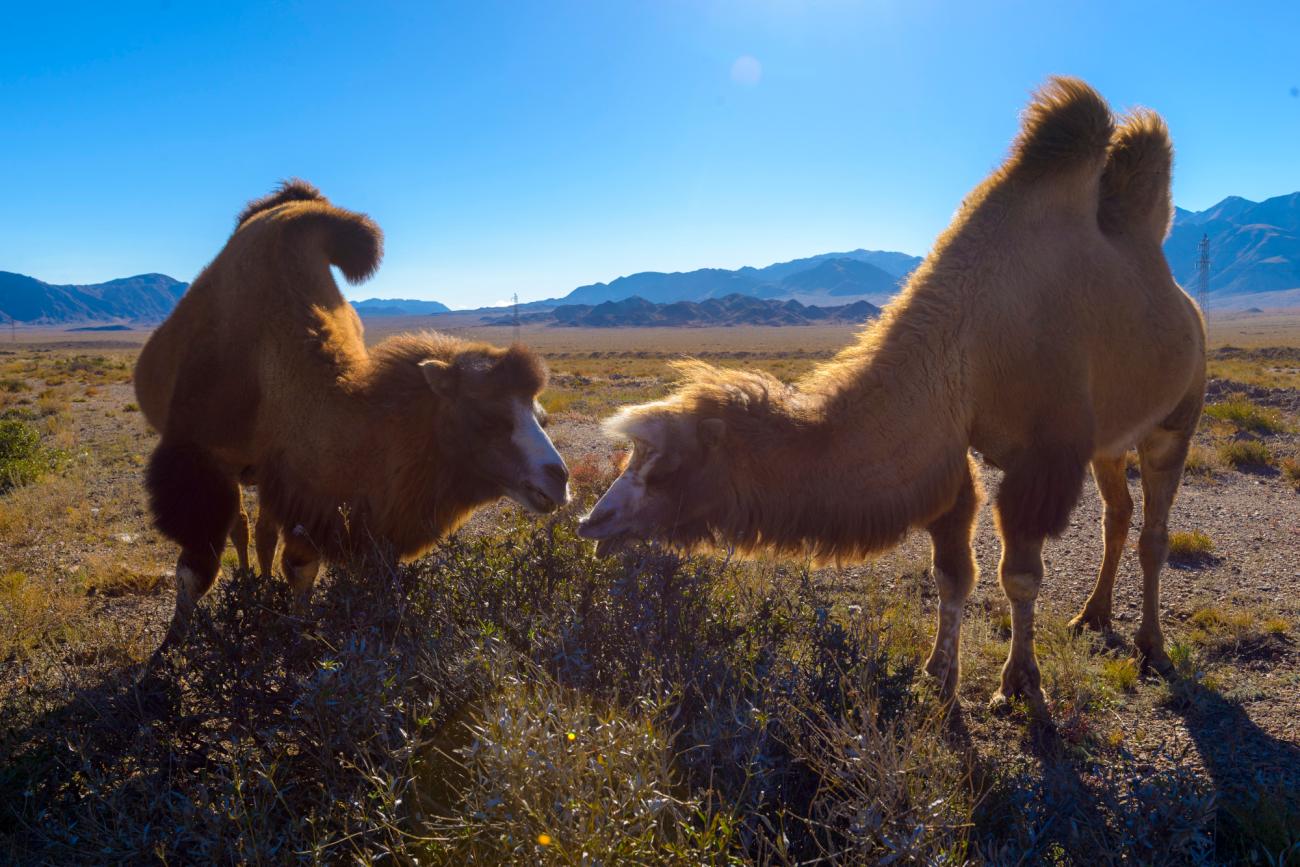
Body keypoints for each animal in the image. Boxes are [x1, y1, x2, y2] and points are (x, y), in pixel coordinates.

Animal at [135, 180, 570, 657]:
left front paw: (294, 633)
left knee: (259, 527)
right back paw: (248, 586)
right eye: (485, 416)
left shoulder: (306, 486)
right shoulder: (199, 461)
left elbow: (300, 565)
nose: (558, 479)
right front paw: (168, 650)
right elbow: (196, 569)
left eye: (540, 415)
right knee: (241, 527)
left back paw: (258, 587)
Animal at [578, 78, 1206, 715]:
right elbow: (952, 573)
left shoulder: (1043, 459)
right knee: (1116, 515)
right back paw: (1092, 616)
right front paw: (939, 677)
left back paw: (1152, 647)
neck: (971, 339)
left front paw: (1020, 684)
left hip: (1177, 416)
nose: (593, 522)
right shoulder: (948, 457)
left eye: (664, 470)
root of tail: (1184, 302)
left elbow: (1019, 577)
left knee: (1154, 532)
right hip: (1109, 442)